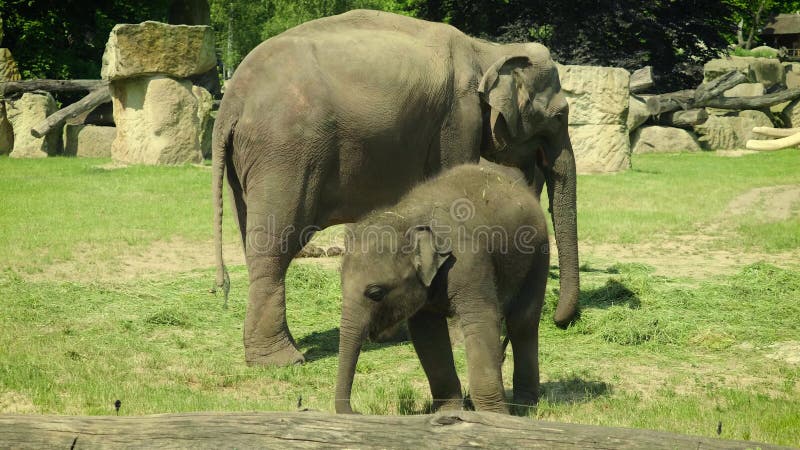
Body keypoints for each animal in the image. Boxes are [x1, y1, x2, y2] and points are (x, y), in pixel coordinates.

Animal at [209, 8, 580, 366]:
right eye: (560, 116)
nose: (562, 322)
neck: (487, 50)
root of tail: (231, 102)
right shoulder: (457, 120)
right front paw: (455, 334)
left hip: (248, 160)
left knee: (253, 237)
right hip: (285, 154)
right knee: (276, 243)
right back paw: (282, 361)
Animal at [332, 163, 552, 414]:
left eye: (375, 293)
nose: (357, 412)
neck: (408, 219)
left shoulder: (469, 261)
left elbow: (481, 320)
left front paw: (494, 416)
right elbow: (427, 334)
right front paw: (449, 412)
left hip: (539, 250)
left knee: (523, 322)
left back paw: (524, 404)